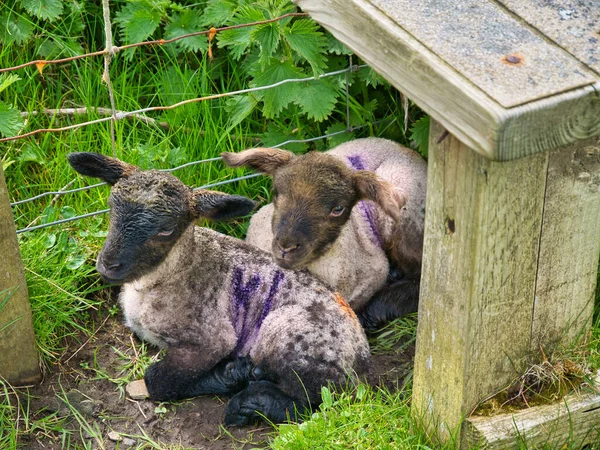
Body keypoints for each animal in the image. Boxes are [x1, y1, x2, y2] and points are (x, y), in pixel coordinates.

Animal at [67, 151, 370, 426]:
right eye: (111, 208)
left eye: (166, 230)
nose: (108, 265)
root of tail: (362, 357)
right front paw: (232, 374)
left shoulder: (212, 338)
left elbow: (158, 380)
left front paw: (225, 376)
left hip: (288, 333)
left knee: (313, 399)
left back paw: (248, 402)